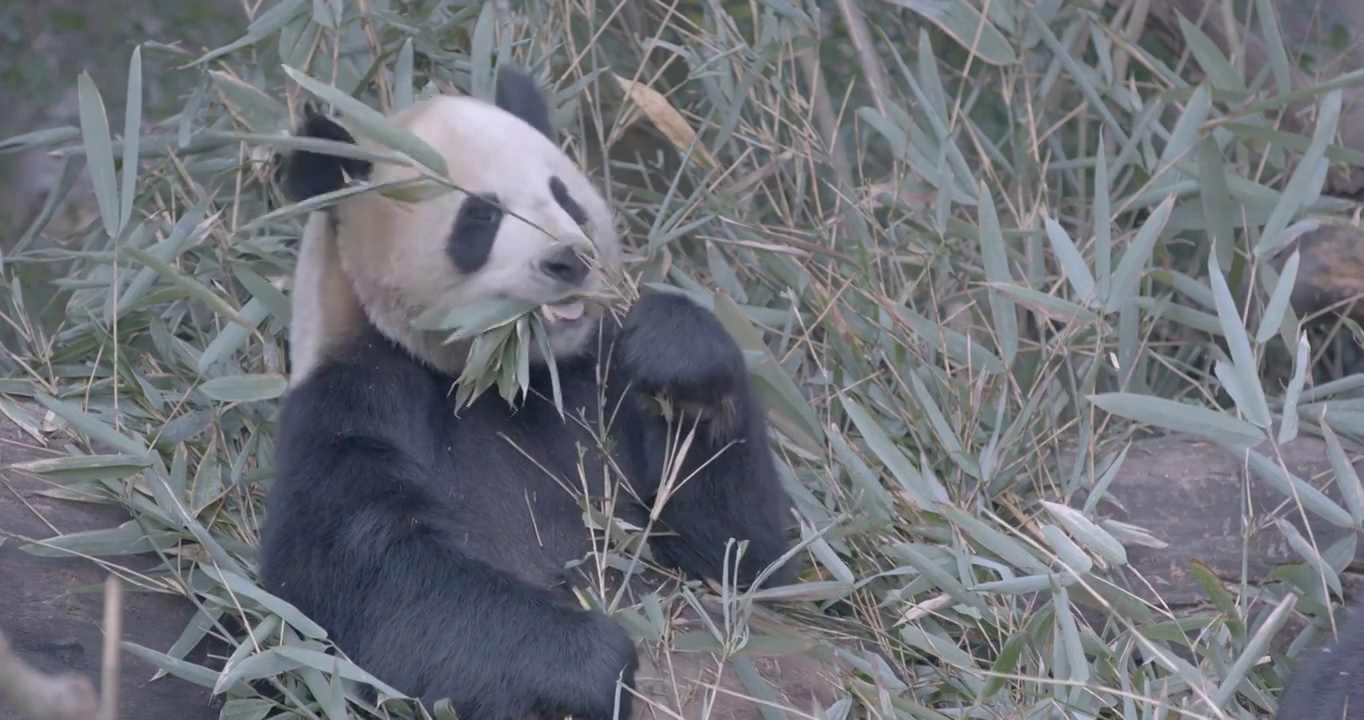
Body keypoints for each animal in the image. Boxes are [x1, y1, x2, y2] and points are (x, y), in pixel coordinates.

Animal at [256, 64, 845, 714]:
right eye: (481, 217)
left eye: (566, 197)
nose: (569, 259)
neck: (505, 377)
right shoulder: (356, 396)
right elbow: (368, 579)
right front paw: (596, 663)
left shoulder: (599, 380)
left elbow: (738, 562)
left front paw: (679, 355)